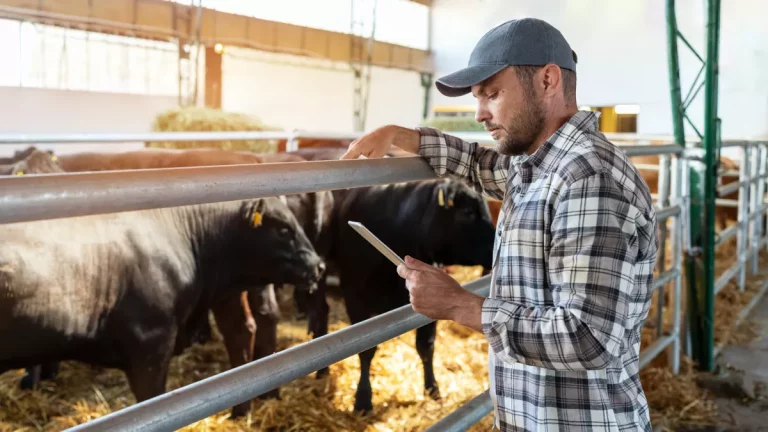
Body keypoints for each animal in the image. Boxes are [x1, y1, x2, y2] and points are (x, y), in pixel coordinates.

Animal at [328, 178, 496, 412]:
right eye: (468, 212)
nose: (495, 247)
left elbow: (426, 346)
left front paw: (433, 389)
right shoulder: (355, 300)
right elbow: (366, 351)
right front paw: (363, 399)